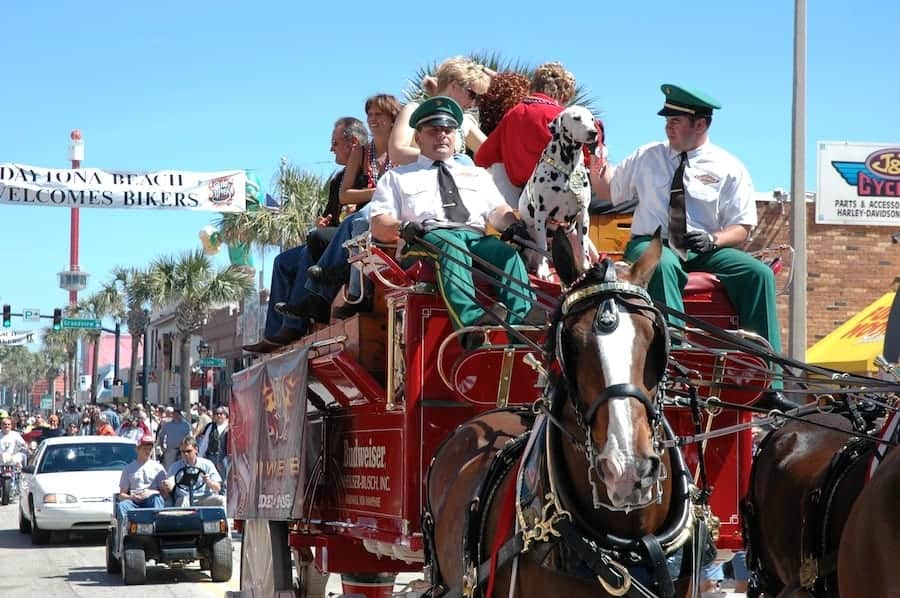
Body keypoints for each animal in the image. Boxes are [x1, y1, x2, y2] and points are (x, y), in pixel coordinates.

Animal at [516, 104, 600, 280]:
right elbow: (542, 247)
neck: (568, 170)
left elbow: (583, 247)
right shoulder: (541, 215)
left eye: (591, 119)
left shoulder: (583, 215)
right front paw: (542, 270)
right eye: (576, 118)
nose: (593, 132)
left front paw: (585, 267)